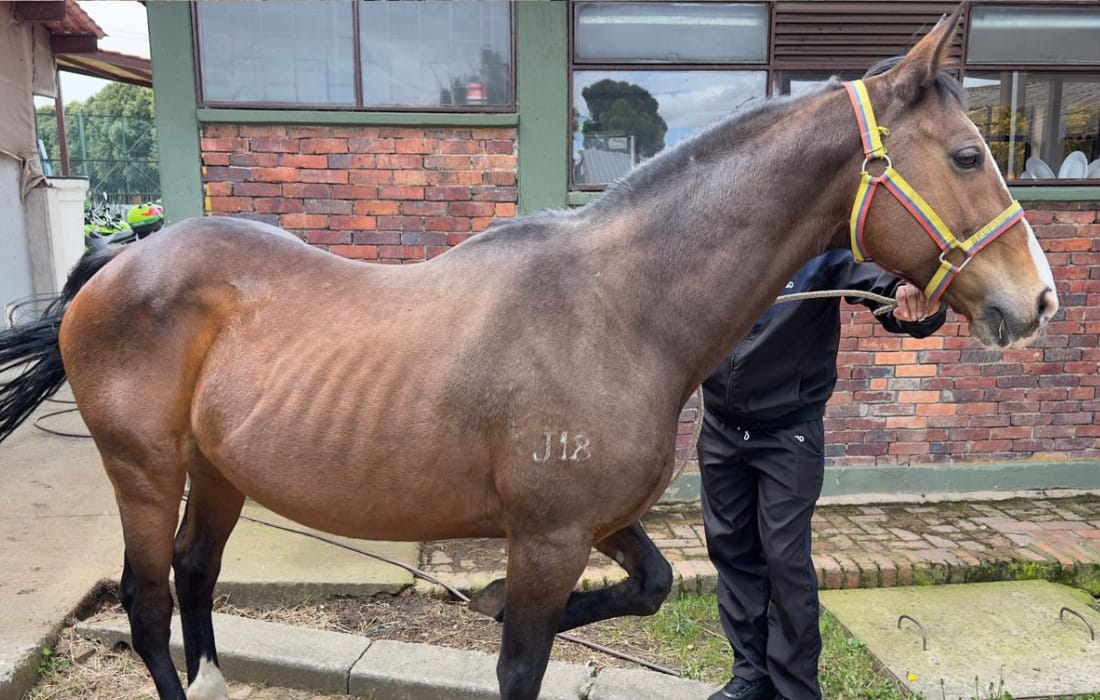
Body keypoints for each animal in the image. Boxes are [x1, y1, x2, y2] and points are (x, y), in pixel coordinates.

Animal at [0, 7, 1058, 700]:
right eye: (968, 155)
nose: (1037, 299)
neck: (620, 310)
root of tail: (127, 255)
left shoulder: (595, 524)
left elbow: (652, 586)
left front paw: (488, 597)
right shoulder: (550, 539)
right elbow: (522, 661)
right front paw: (496, 606)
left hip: (219, 469)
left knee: (194, 575)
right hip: (146, 467)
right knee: (147, 600)